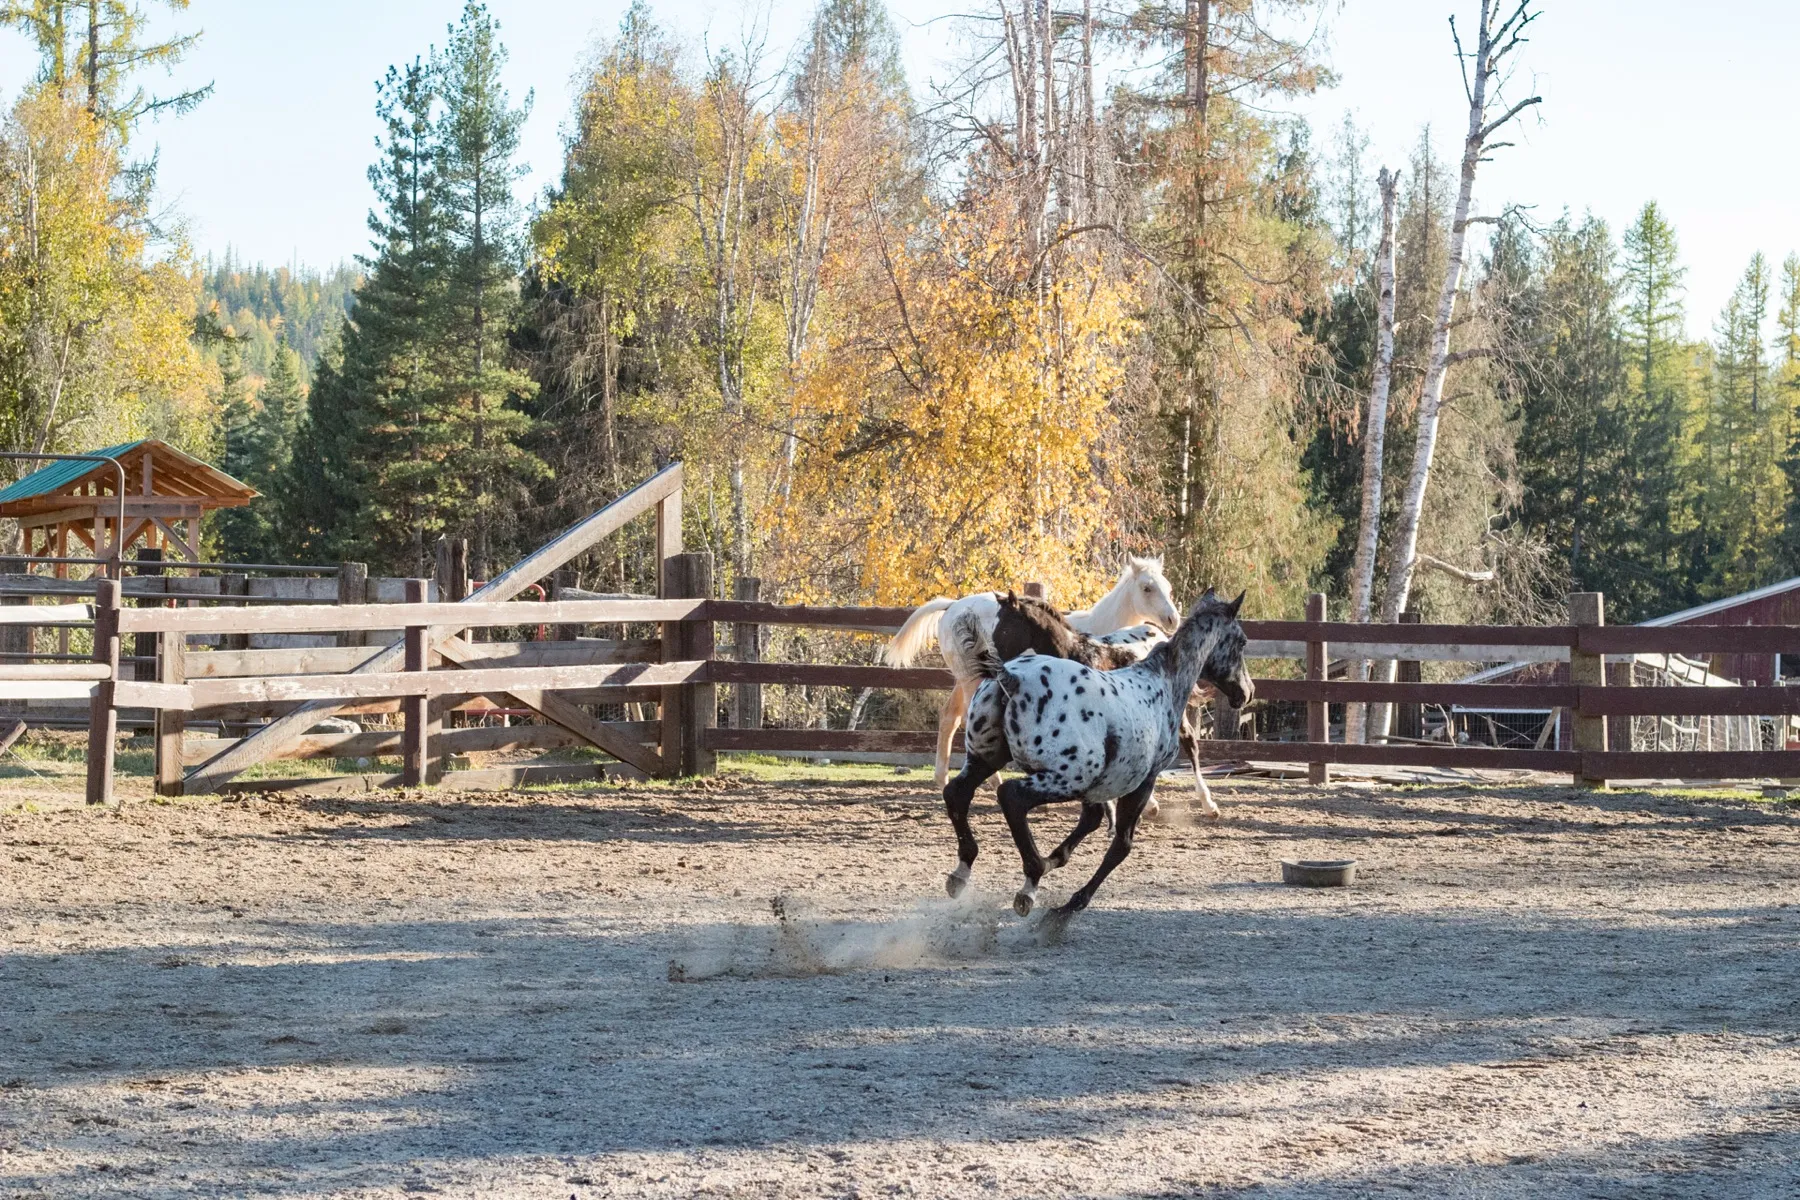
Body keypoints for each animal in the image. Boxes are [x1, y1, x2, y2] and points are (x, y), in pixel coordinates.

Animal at [884, 558, 1182, 788]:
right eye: (1147, 588)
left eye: (1167, 586)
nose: (1173, 620)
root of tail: (951, 607)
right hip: (971, 680)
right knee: (968, 718)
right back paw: (993, 780)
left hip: (964, 679)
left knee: (949, 717)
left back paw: (942, 778)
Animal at [989, 592, 1222, 820]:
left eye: (1005, 628)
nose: (994, 668)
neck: (1075, 656)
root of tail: (1158, 633)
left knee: (1190, 742)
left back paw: (1208, 805)